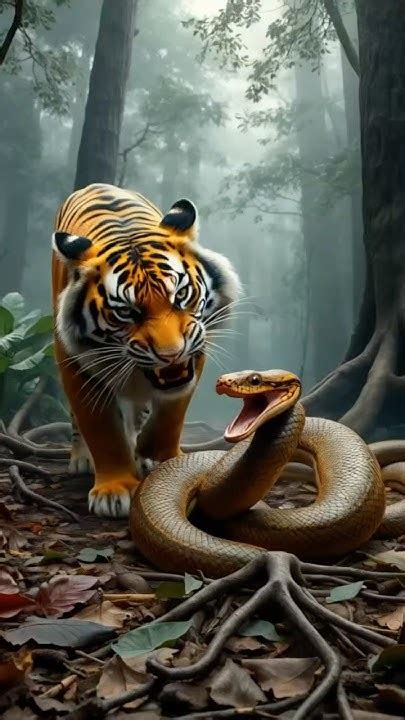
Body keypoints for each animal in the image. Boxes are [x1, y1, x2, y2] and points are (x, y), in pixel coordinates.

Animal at [52, 183, 241, 518]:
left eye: (181, 294)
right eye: (127, 312)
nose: (171, 354)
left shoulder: (197, 344)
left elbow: (170, 414)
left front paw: (159, 457)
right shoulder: (74, 362)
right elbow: (102, 429)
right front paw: (113, 491)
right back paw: (82, 459)